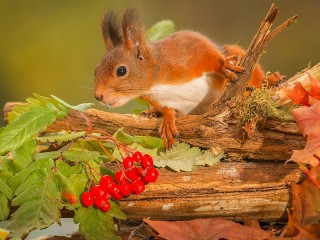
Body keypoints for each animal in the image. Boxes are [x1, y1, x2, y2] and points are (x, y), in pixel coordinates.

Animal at [94, 7, 280, 148]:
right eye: (95, 71)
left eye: (121, 71)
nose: (98, 96)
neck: (156, 82)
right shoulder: (160, 100)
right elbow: (167, 109)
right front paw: (167, 119)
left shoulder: (188, 48)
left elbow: (209, 55)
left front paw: (224, 67)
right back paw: (151, 113)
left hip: (238, 55)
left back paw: (271, 82)